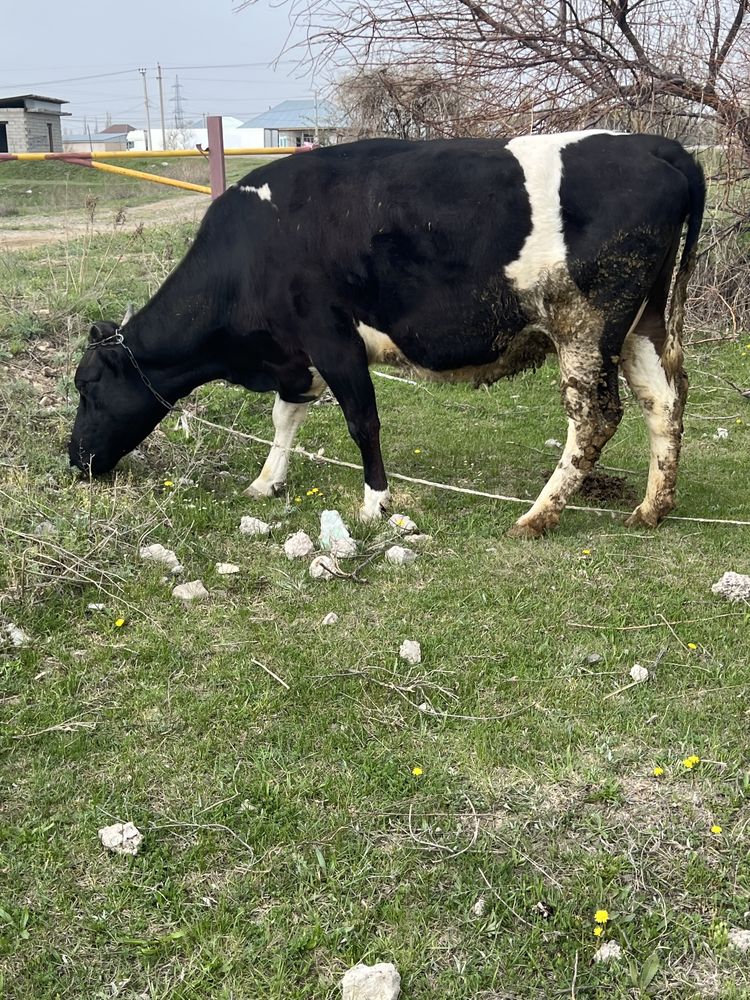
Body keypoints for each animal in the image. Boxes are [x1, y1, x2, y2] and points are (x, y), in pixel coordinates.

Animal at [67, 135, 708, 540]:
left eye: (88, 387)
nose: (75, 461)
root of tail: (655, 144)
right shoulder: (296, 355)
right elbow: (285, 417)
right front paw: (267, 481)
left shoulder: (331, 337)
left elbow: (362, 421)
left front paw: (376, 501)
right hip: (641, 325)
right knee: (663, 402)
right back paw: (652, 507)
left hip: (585, 324)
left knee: (595, 416)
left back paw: (537, 515)